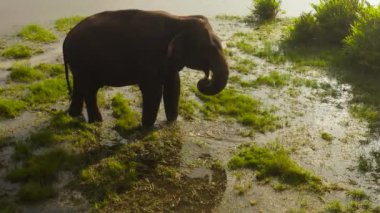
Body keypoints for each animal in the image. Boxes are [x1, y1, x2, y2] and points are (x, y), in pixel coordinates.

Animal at [63, 9, 229, 126]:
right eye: (208, 49)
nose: (205, 79)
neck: (181, 19)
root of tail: (66, 39)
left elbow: (174, 86)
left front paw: (171, 122)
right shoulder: (150, 55)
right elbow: (153, 90)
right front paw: (146, 126)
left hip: (79, 63)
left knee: (80, 85)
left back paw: (74, 115)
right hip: (84, 61)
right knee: (90, 90)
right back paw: (97, 122)